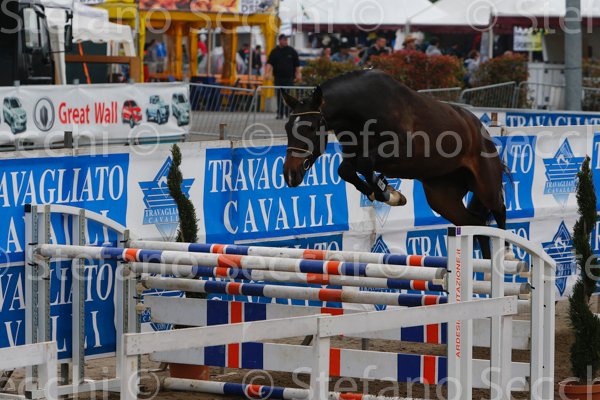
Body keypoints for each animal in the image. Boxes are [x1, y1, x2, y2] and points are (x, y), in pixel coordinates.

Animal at [281, 69, 508, 259]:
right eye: (287, 127)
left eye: (310, 128)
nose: (290, 174)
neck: (361, 111)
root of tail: (481, 128)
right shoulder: (352, 155)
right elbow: (346, 170)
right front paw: (386, 193)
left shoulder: (400, 151)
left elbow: (364, 164)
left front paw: (386, 192)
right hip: (443, 196)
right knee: (476, 224)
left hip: (485, 183)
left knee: (498, 209)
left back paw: (506, 257)